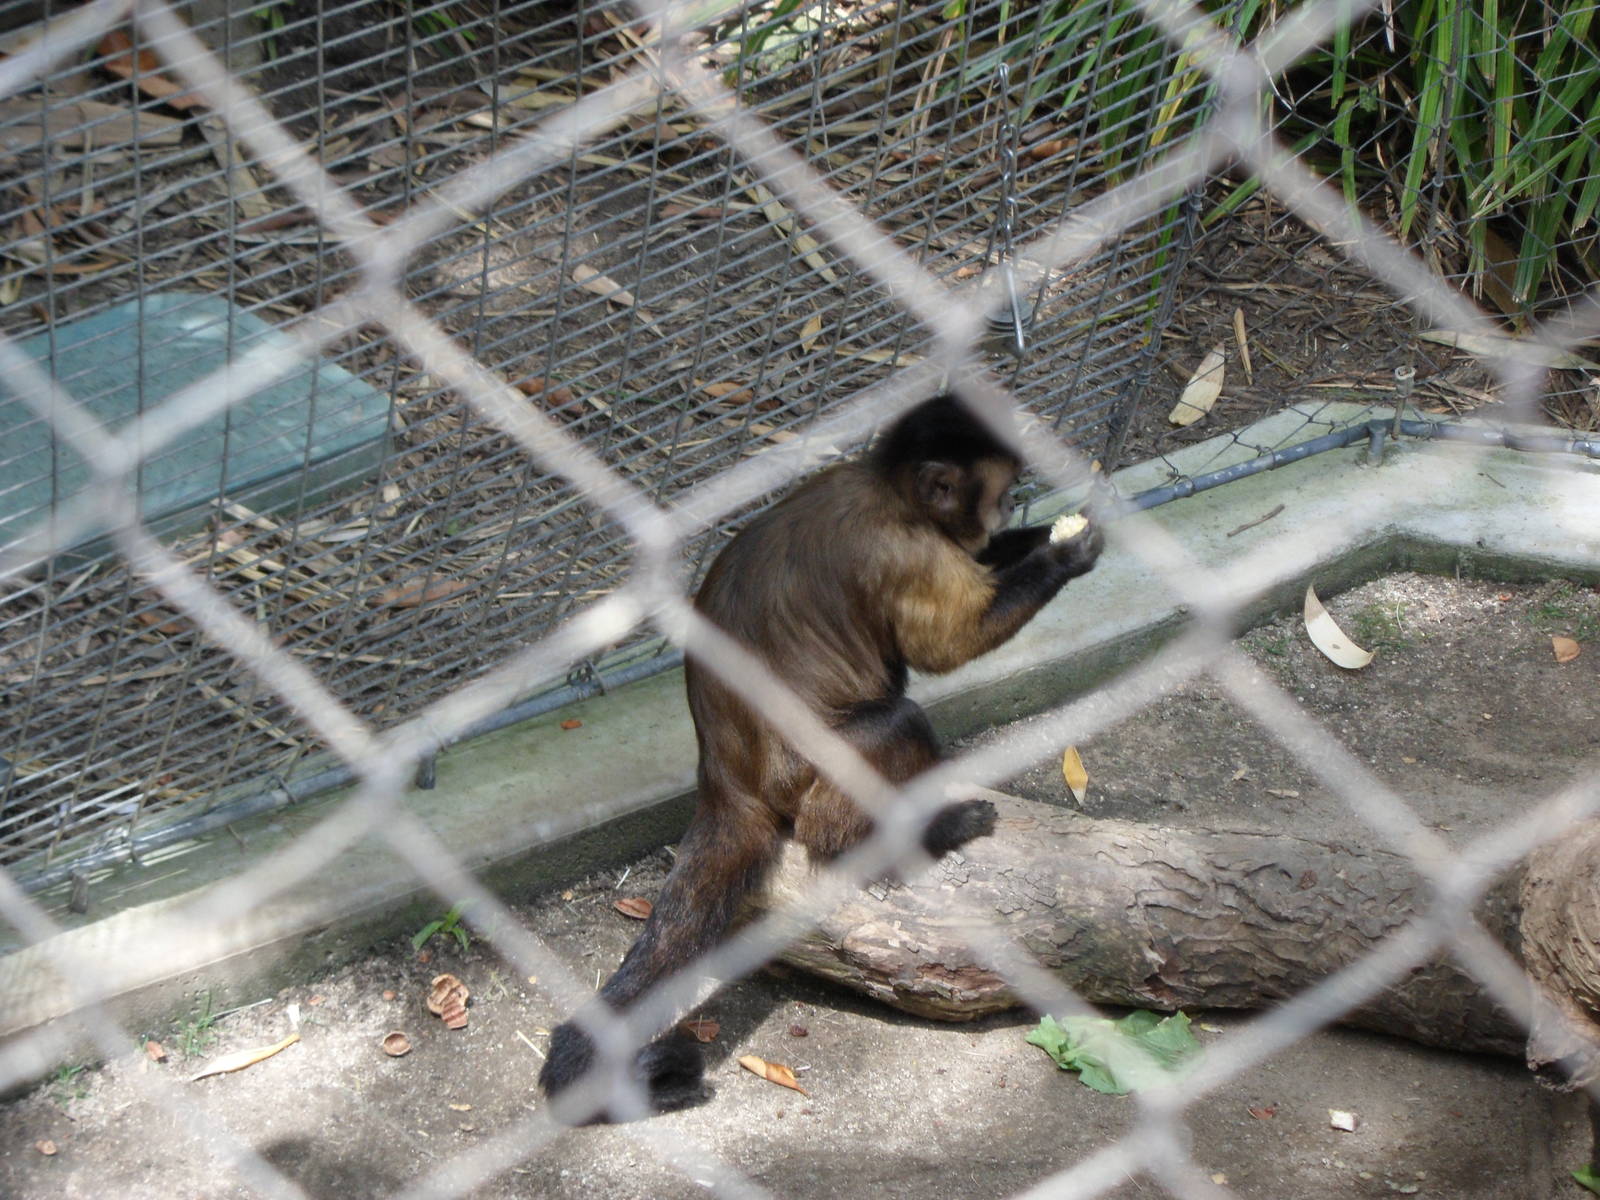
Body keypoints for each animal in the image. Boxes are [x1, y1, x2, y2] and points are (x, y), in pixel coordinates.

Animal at [538, 393, 1103, 1121]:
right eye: (1002, 492)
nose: (1010, 508)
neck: (889, 491)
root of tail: (723, 777)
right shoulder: (905, 550)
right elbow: (945, 648)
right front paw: (1067, 554)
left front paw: (1053, 530)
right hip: (802, 774)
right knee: (892, 726)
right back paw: (902, 835)